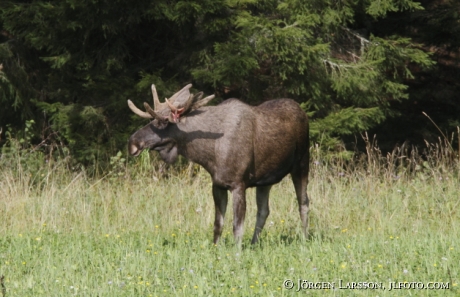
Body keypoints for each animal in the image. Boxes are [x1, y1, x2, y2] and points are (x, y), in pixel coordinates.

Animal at [127, 82, 310, 243]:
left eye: (163, 122)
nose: (132, 142)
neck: (209, 154)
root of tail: (302, 110)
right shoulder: (218, 184)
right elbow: (218, 225)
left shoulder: (238, 184)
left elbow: (237, 227)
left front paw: (237, 254)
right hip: (265, 180)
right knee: (264, 210)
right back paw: (254, 243)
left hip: (301, 163)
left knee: (303, 203)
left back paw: (304, 239)